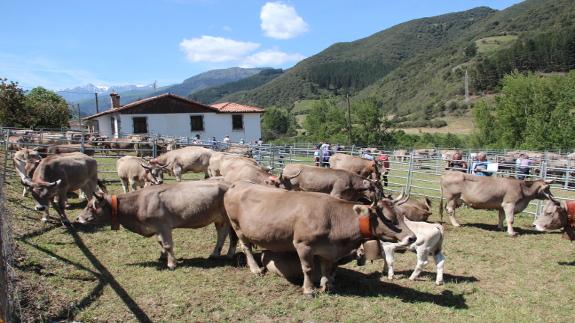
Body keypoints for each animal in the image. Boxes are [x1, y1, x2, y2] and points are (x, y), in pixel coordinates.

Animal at [75, 181, 237, 270]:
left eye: (91, 206)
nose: (78, 218)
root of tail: (229, 184)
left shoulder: (164, 225)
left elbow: (167, 245)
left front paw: (172, 264)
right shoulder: (157, 227)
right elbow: (160, 242)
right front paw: (162, 256)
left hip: (229, 219)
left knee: (232, 235)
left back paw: (229, 254)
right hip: (218, 219)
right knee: (222, 234)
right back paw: (215, 254)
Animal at [223, 181, 416, 298]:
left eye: (402, 215)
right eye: (389, 219)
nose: (412, 237)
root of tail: (239, 183)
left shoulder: (328, 249)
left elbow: (327, 268)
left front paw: (327, 285)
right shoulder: (303, 245)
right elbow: (308, 268)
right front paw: (309, 290)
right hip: (237, 226)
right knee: (246, 247)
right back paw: (255, 268)